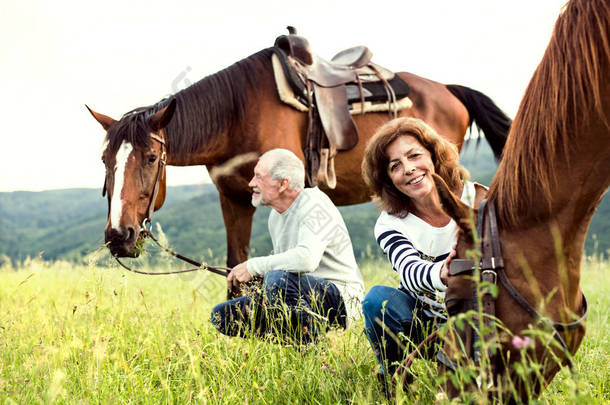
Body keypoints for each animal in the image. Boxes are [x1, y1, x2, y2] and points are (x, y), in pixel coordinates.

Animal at [88, 45, 506, 262]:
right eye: (105, 163)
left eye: (151, 159)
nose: (118, 236)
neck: (238, 114)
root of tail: (448, 90)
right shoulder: (233, 199)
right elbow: (237, 267)